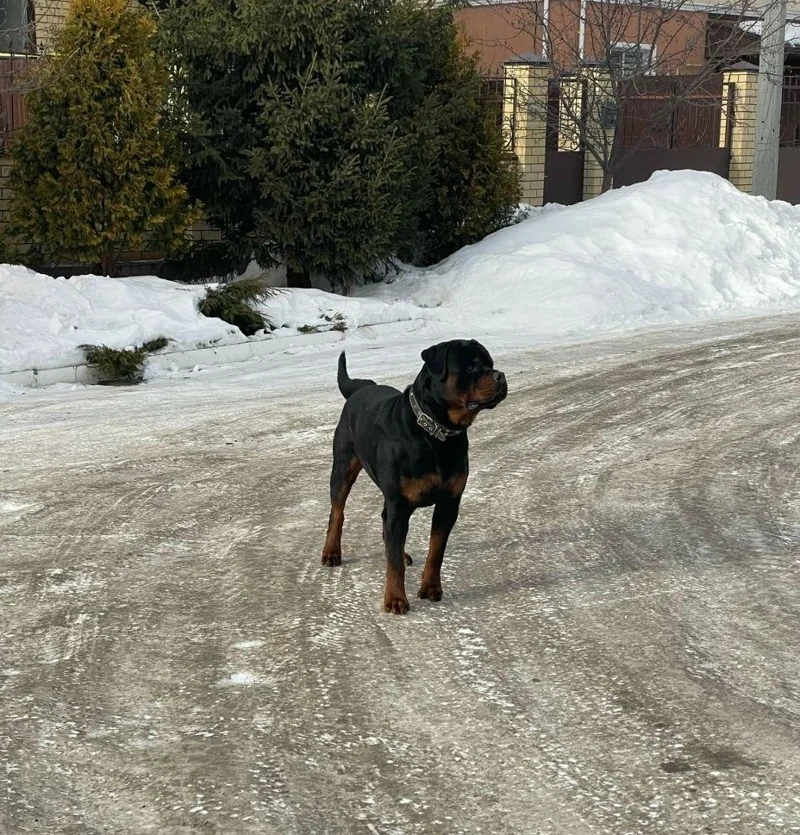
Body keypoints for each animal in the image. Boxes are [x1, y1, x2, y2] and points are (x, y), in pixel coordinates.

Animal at [320, 338, 504, 612]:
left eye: (490, 364)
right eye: (471, 367)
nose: (500, 375)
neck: (436, 433)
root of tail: (361, 389)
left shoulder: (449, 503)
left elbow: (436, 550)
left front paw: (430, 587)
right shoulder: (400, 503)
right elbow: (394, 563)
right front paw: (395, 599)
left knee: (384, 522)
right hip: (343, 468)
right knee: (338, 512)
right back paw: (331, 552)